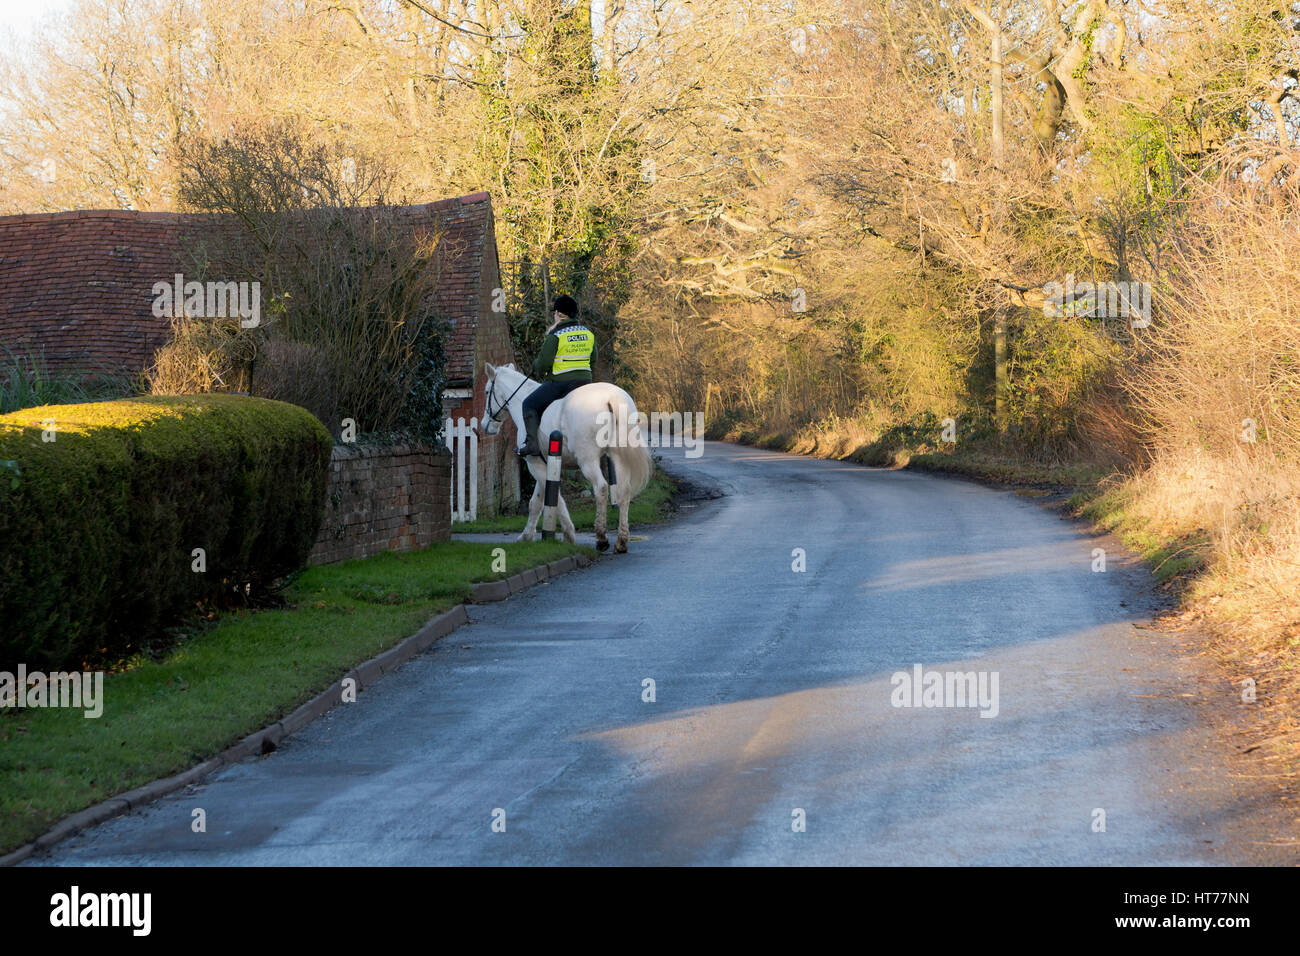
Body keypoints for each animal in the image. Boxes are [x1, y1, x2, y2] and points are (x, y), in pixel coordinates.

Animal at [480, 362, 653, 552]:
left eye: (487, 392)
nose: (485, 425)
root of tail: (611, 398)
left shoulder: (535, 465)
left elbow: (555, 500)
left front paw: (568, 534)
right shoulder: (544, 465)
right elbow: (536, 503)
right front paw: (526, 536)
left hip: (587, 460)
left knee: (601, 488)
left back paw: (601, 538)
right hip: (617, 457)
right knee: (624, 490)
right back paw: (621, 541)